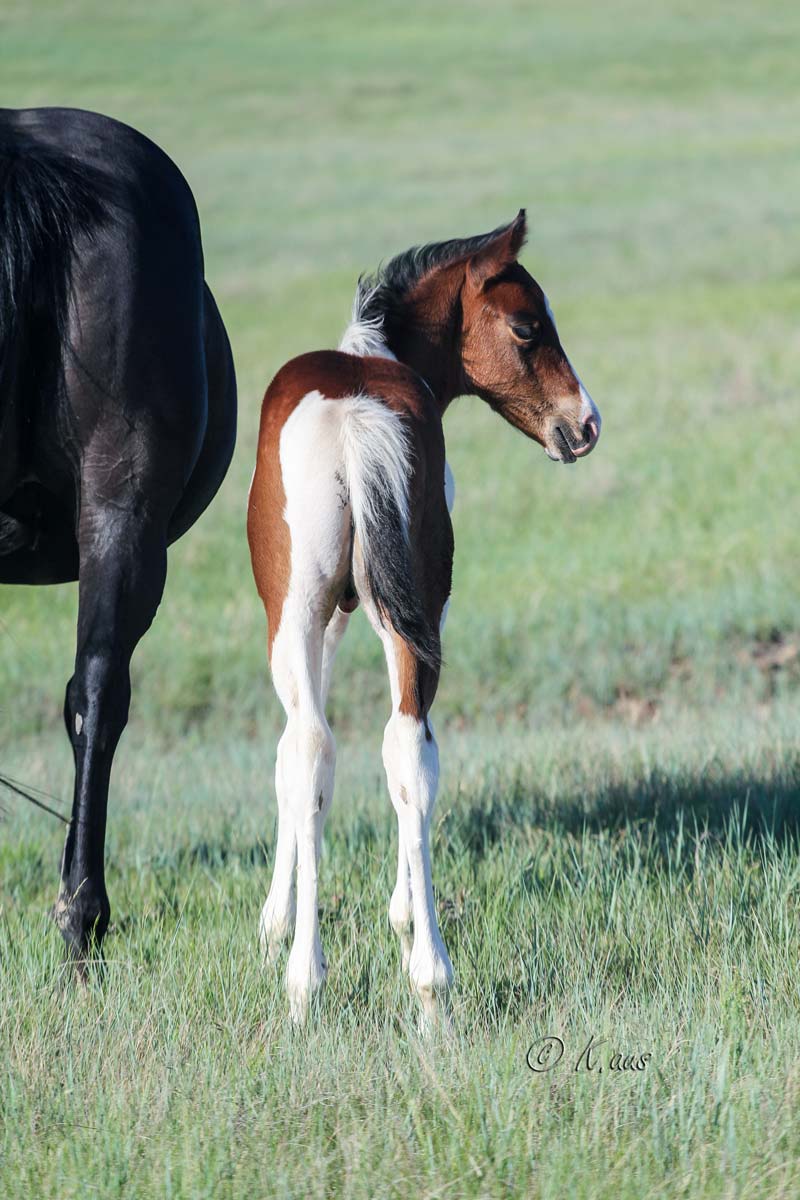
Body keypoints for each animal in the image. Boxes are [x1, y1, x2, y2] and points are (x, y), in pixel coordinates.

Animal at [0, 107, 237, 969]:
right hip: (121, 518)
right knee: (97, 693)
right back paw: (80, 912)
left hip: (123, 511)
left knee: (98, 695)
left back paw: (83, 916)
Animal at [247, 210, 600, 1024]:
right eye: (529, 326)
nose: (585, 424)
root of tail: (353, 416)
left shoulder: (331, 620)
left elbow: (296, 761)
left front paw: (278, 921)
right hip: (392, 621)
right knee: (402, 751)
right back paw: (420, 974)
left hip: (312, 616)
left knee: (332, 747)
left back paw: (321, 976)